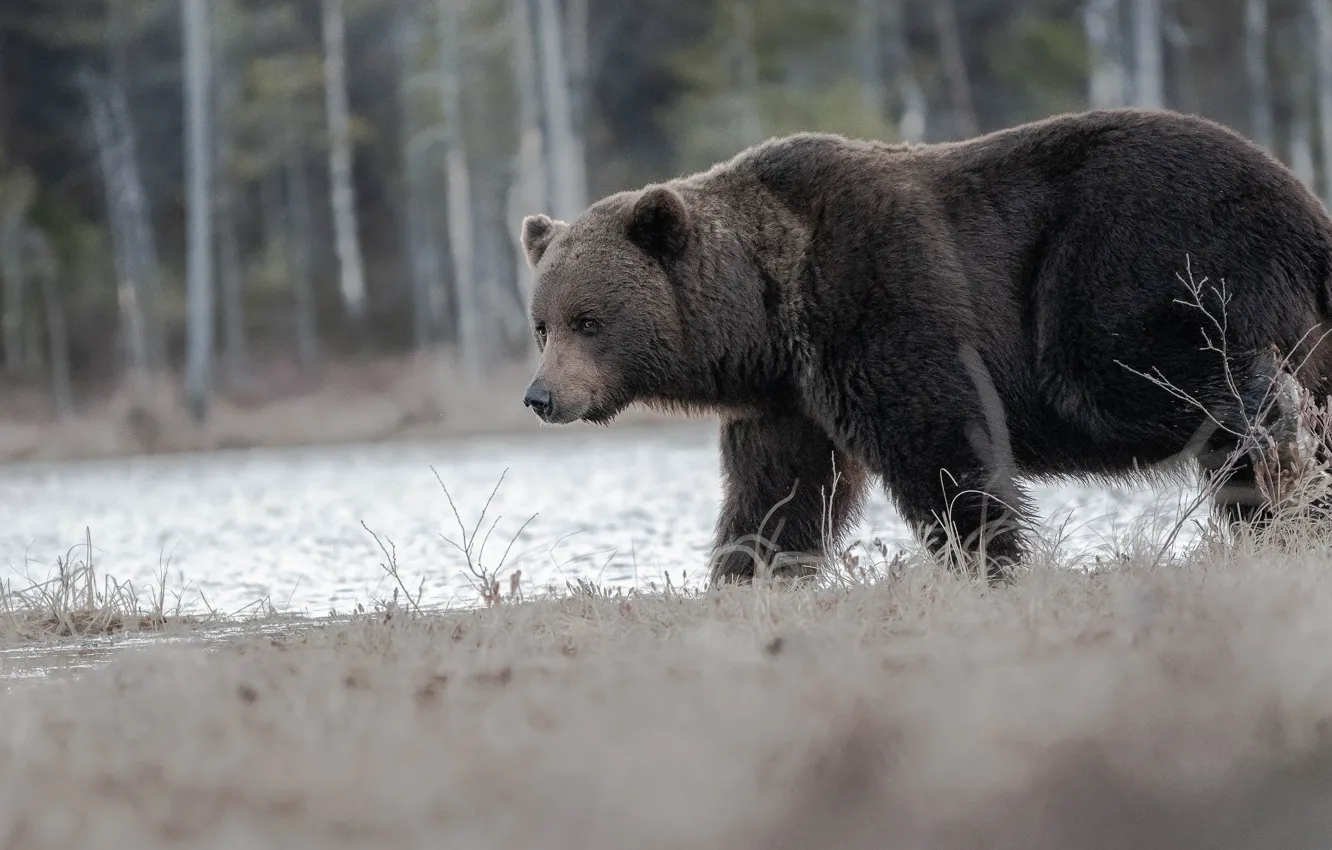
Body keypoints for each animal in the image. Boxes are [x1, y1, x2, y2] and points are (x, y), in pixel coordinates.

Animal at [514, 105, 1332, 586]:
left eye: (590, 319)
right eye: (542, 323)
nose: (541, 396)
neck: (769, 311)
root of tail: (1301, 198)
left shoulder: (877, 297)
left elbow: (940, 440)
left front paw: (989, 558)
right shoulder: (789, 398)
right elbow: (777, 492)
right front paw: (747, 573)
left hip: (1134, 256)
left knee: (1148, 379)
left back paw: (1277, 434)